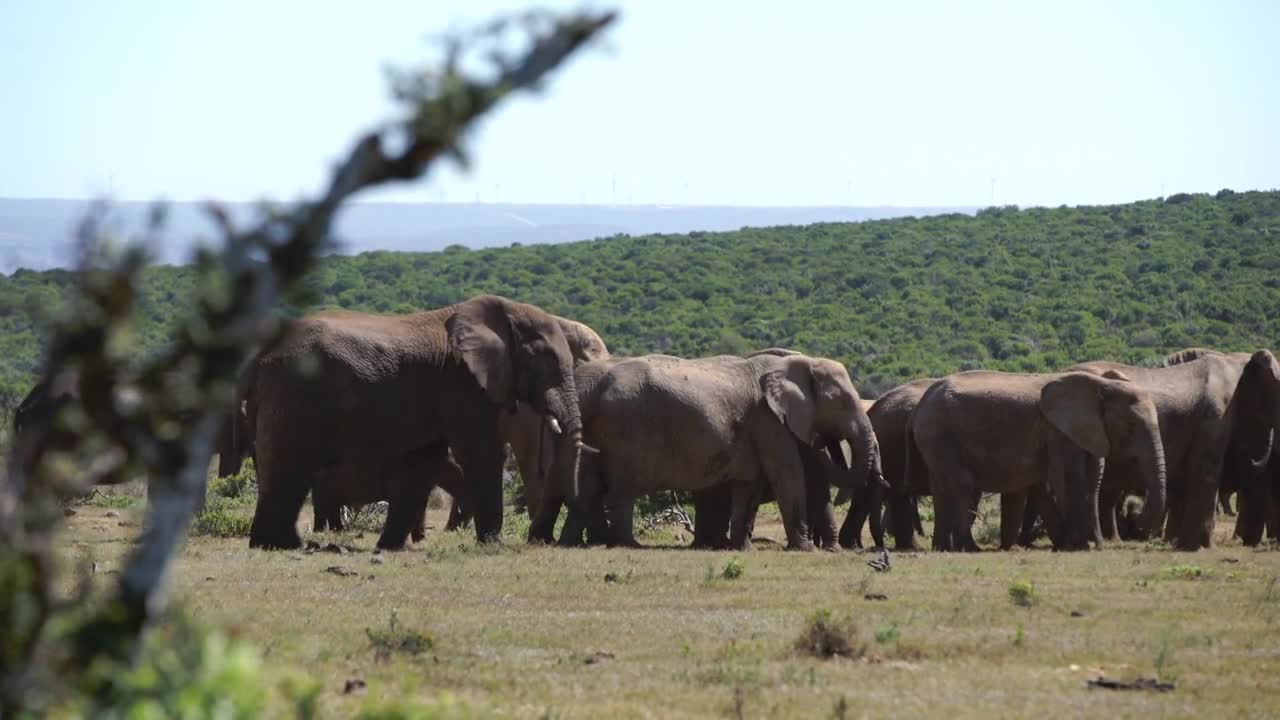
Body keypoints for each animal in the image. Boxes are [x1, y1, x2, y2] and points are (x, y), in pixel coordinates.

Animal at [244, 293, 588, 548]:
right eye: (547, 362)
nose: (546, 540)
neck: (506, 313)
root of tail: (261, 356)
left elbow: (423, 461)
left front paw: (389, 547)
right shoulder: (463, 384)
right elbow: (481, 453)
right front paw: (494, 545)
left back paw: (275, 544)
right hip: (295, 394)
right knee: (289, 463)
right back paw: (281, 545)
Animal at [555, 348, 885, 548]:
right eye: (840, 402)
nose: (826, 441)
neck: (800, 363)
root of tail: (592, 387)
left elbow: (749, 485)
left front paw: (742, 547)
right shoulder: (769, 420)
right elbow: (788, 474)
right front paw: (804, 549)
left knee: (587, 487)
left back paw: (569, 544)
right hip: (625, 428)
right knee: (621, 489)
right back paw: (628, 544)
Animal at [911, 368, 1172, 548]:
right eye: (1130, 425)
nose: (1137, 523)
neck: (1101, 384)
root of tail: (924, 399)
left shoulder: (1087, 430)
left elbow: (1088, 482)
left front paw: (1088, 545)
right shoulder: (1058, 432)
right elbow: (1067, 478)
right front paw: (1077, 546)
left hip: (934, 439)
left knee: (941, 487)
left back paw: (943, 548)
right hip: (940, 434)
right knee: (962, 483)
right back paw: (970, 548)